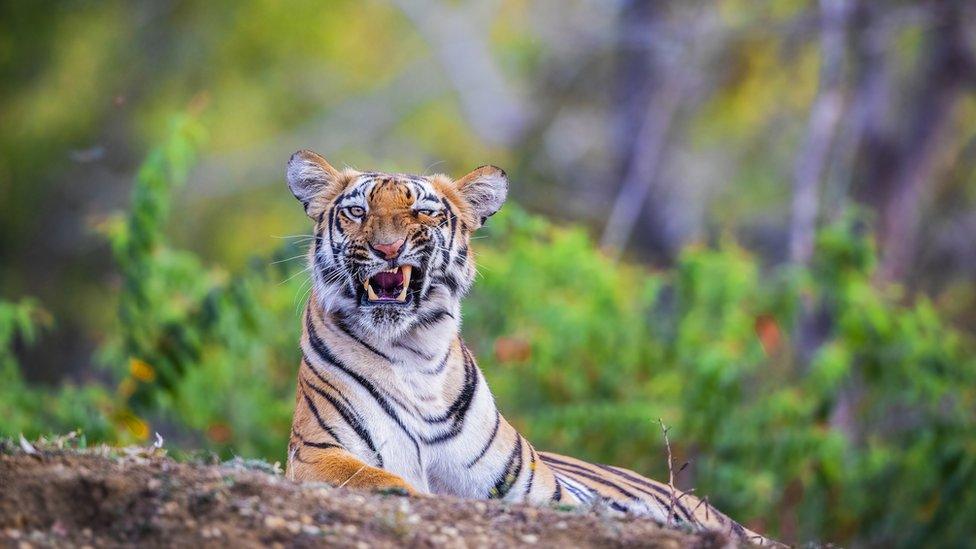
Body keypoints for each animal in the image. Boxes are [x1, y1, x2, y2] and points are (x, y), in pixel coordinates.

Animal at [282, 149, 776, 544]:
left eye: (423, 212)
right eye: (357, 211)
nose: (387, 249)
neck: (413, 352)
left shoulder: (539, 490)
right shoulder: (317, 454)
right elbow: (384, 478)